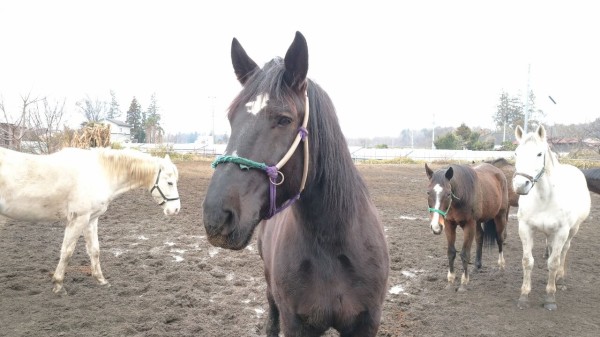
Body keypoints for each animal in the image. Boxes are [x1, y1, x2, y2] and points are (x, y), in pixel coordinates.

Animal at [0, 146, 180, 292]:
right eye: (170, 182)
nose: (176, 209)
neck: (99, 173)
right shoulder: (78, 219)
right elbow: (67, 252)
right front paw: (58, 285)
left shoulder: (91, 219)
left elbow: (94, 250)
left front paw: (101, 280)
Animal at [202, 30, 390, 334]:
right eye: (231, 118)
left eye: (284, 119)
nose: (217, 216)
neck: (332, 243)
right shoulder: (296, 322)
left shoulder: (367, 322)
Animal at [424, 163, 508, 292]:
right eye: (428, 193)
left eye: (448, 194)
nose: (436, 227)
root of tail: (498, 171)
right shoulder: (449, 224)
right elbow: (451, 252)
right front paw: (450, 281)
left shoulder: (469, 225)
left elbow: (464, 254)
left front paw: (463, 283)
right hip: (478, 222)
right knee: (479, 237)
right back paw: (477, 266)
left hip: (500, 216)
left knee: (500, 239)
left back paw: (501, 265)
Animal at [510, 124, 592, 308]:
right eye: (516, 153)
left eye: (539, 154)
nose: (520, 185)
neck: (545, 198)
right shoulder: (525, 228)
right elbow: (527, 261)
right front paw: (524, 295)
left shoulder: (561, 232)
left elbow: (554, 263)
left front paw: (550, 297)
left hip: (573, 230)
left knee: (564, 251)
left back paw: (560, 278)